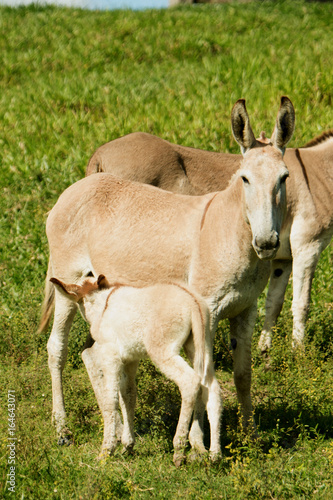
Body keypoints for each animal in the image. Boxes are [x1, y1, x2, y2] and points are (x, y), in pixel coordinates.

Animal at [50, 274, 222, 464]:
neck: (103, 306)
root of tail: (191, 300)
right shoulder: (130, 360)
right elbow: (129, 396)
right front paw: (128, 446)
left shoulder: (110, 356)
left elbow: (110, 401)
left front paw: (106, 451)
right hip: (199, 347)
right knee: (212, 388)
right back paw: (215, 455)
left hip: (163, 351)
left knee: (189, 382)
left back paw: (179, 451)